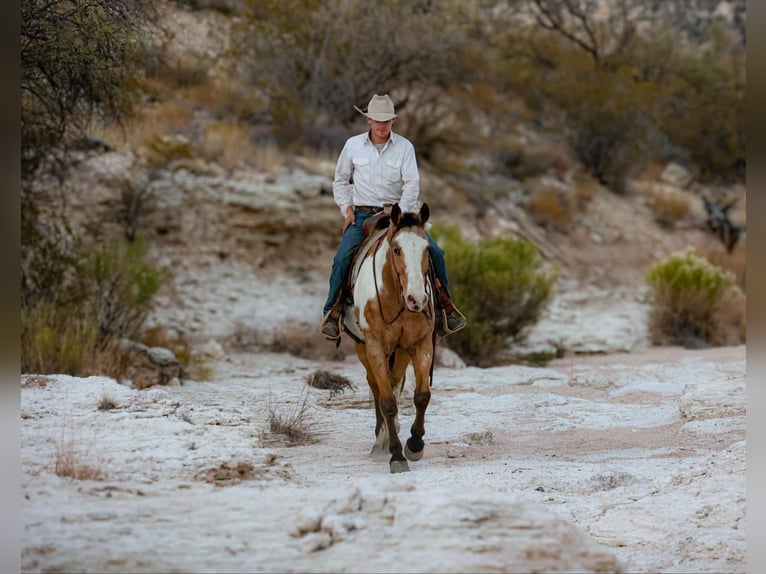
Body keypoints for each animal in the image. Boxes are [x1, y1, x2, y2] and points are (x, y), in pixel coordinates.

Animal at [341, 203, 436, 473]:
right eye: (397, 249)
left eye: (427, 249)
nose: (417, 299)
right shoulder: (374, 346)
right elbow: (386, 402)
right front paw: (396, 455)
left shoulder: (421, 342)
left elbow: (421, 395)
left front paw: (414, 445)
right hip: (363, 348)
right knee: (376, 385)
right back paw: (380, 440)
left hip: (401, 350)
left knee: (395, 382)